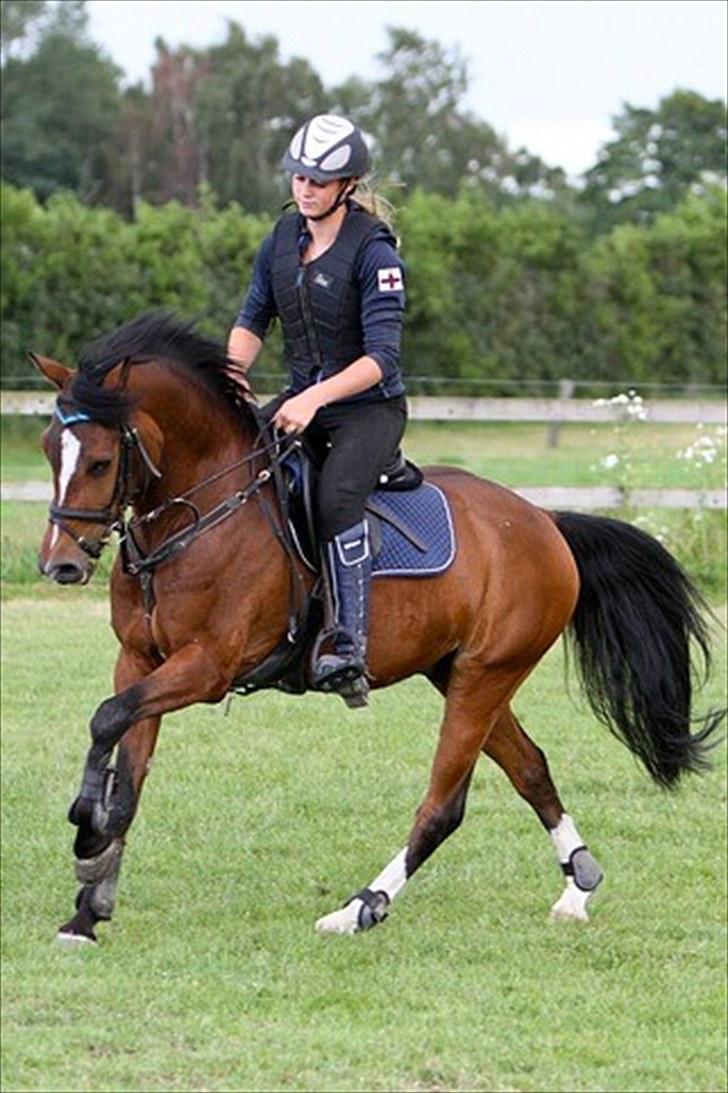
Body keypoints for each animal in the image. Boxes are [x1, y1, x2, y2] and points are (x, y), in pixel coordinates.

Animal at [29, 312, 721, 944]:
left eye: (99, 461)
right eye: (47, 449)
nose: (61, 565)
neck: (195, 518)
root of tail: (544, 522)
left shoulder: (208, 667)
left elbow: (107, 719)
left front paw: (86, 831)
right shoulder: (140, 660)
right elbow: (127, 766)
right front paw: (90, 904)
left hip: (485, 674)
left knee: (444, 804)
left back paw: (360, 907)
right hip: (461, 672)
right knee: (531, 769)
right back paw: (577, 888)